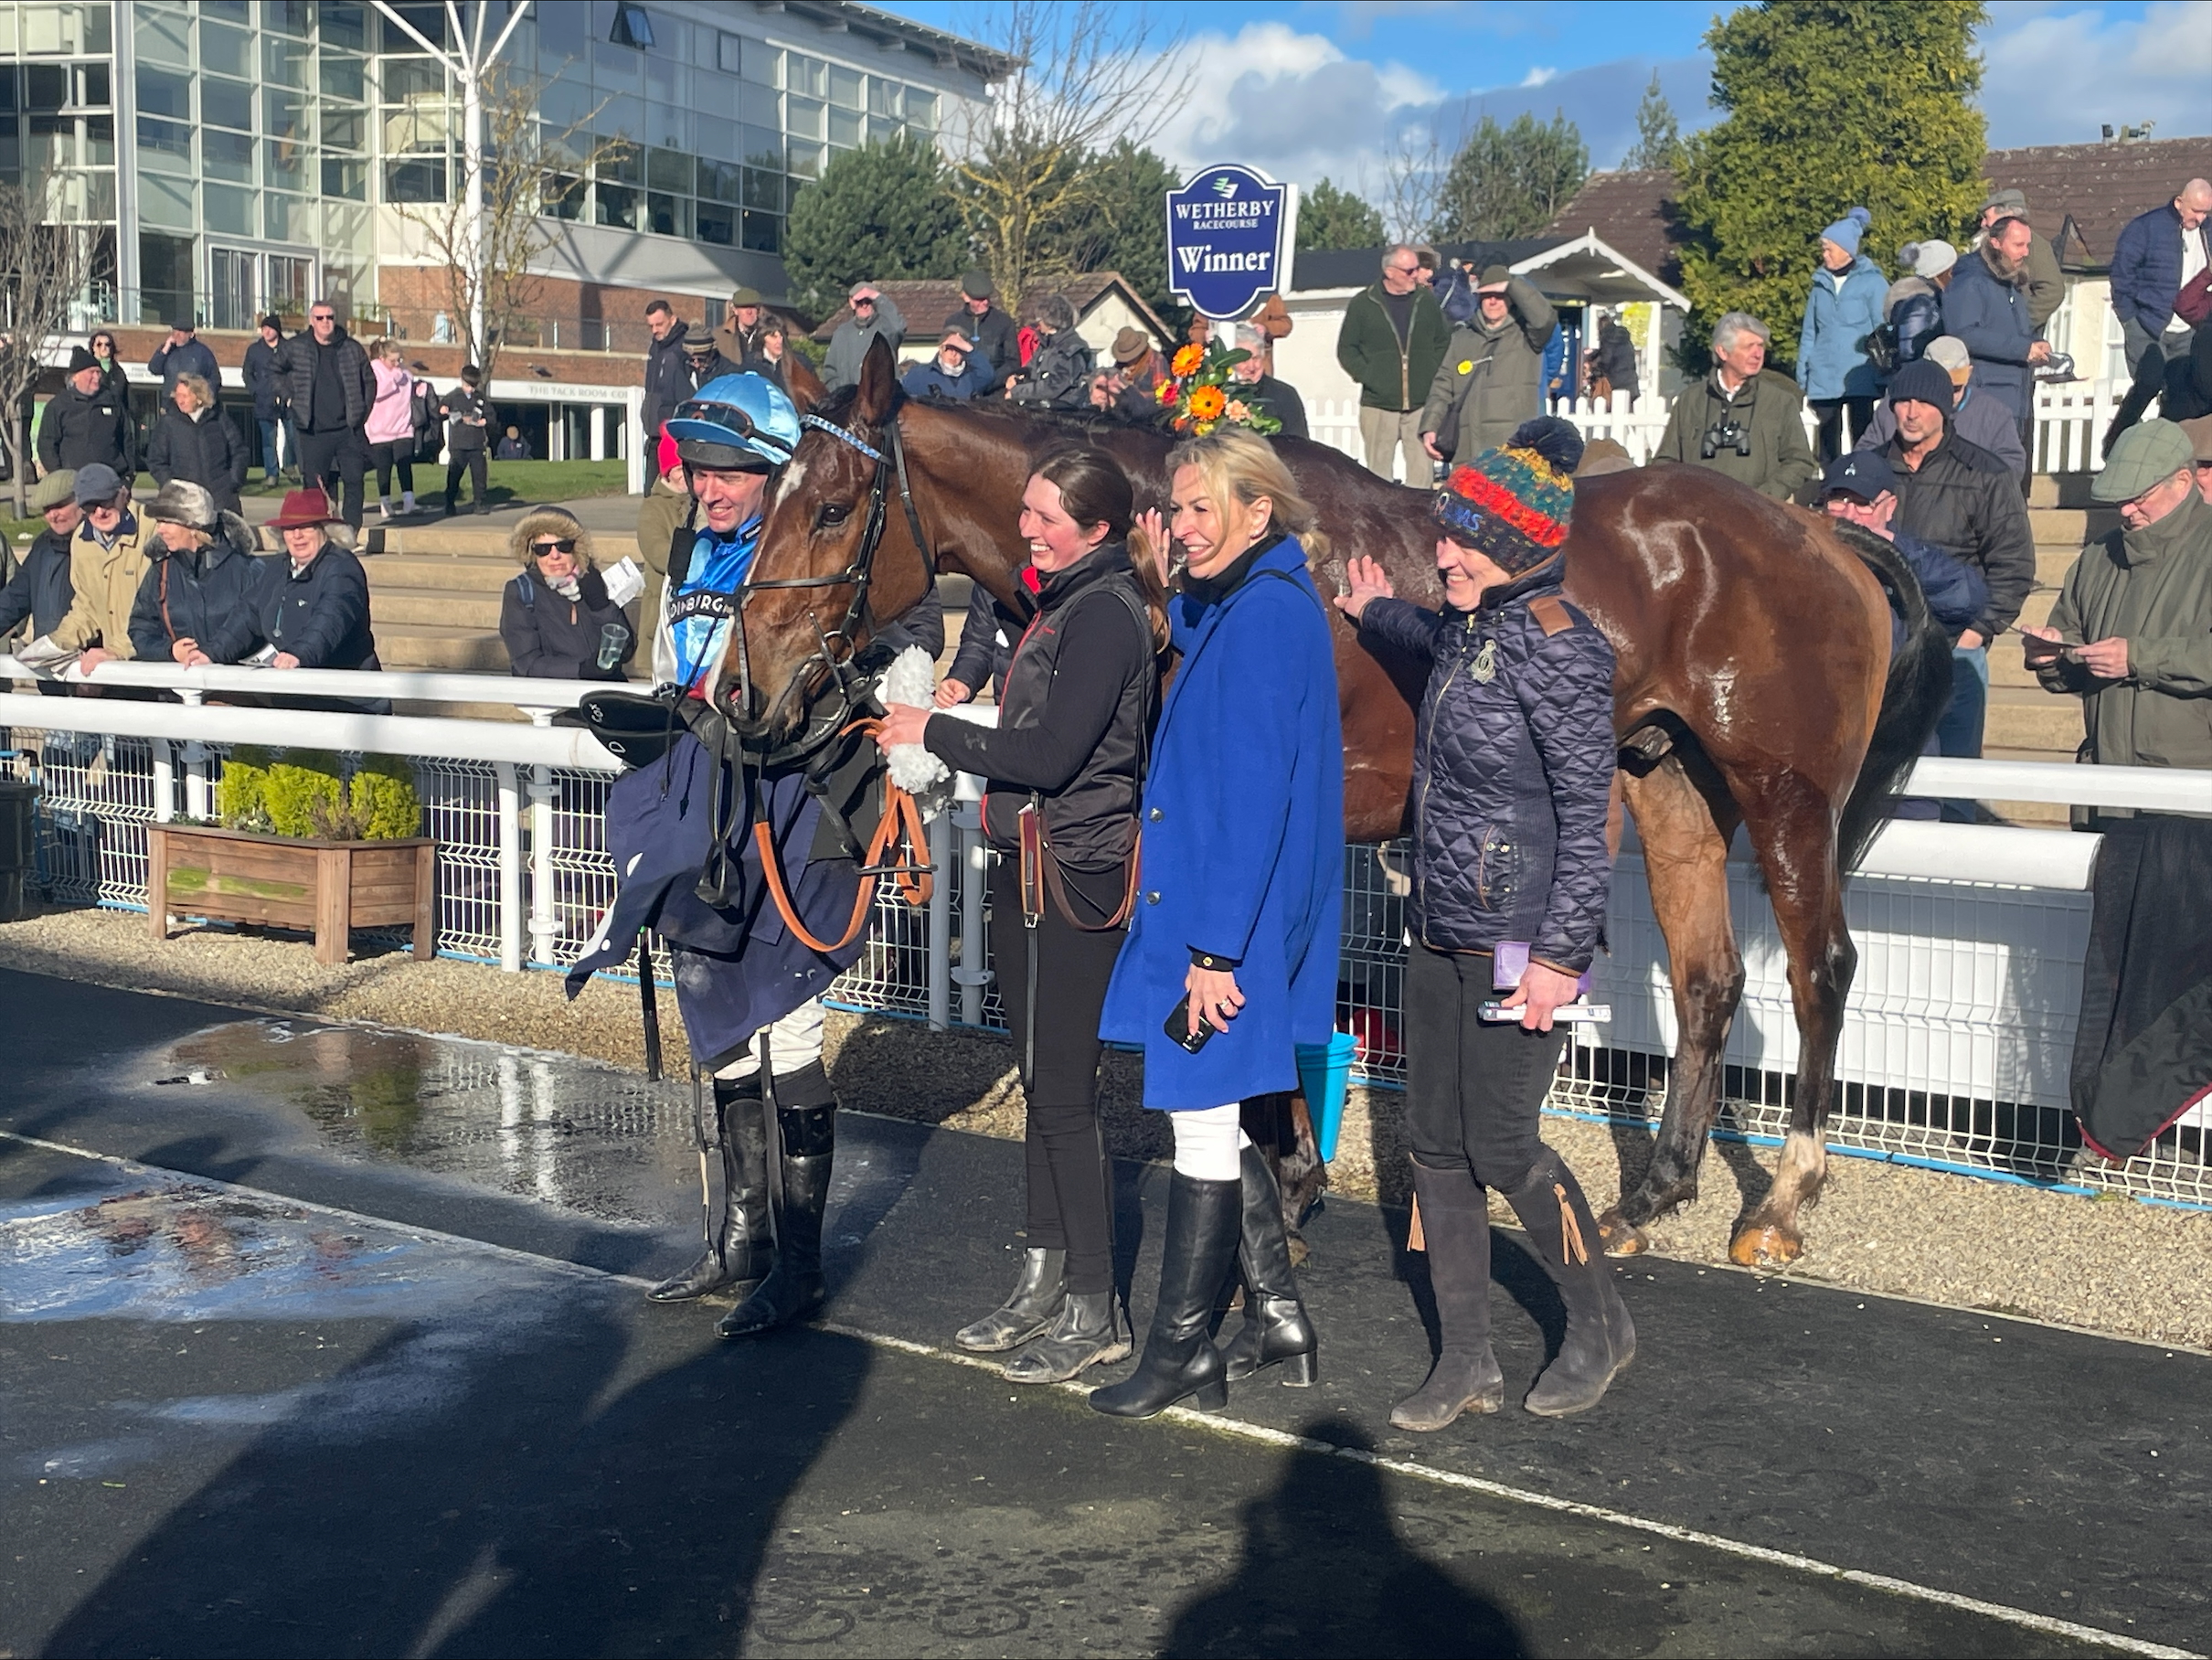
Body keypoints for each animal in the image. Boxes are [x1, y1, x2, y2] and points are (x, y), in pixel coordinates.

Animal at [734, 340, 1946, 1274]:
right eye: (765, 506)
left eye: (833, 509)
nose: (744, 689)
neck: (1182, 570)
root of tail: (1819, 531)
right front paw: (1290, 1173)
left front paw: (1287, 1180)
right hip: (1667, 783)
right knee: (1707, 982)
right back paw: (1649, 1195)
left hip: (1784, 792)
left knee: (1819, 969)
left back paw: (1781, 1199)